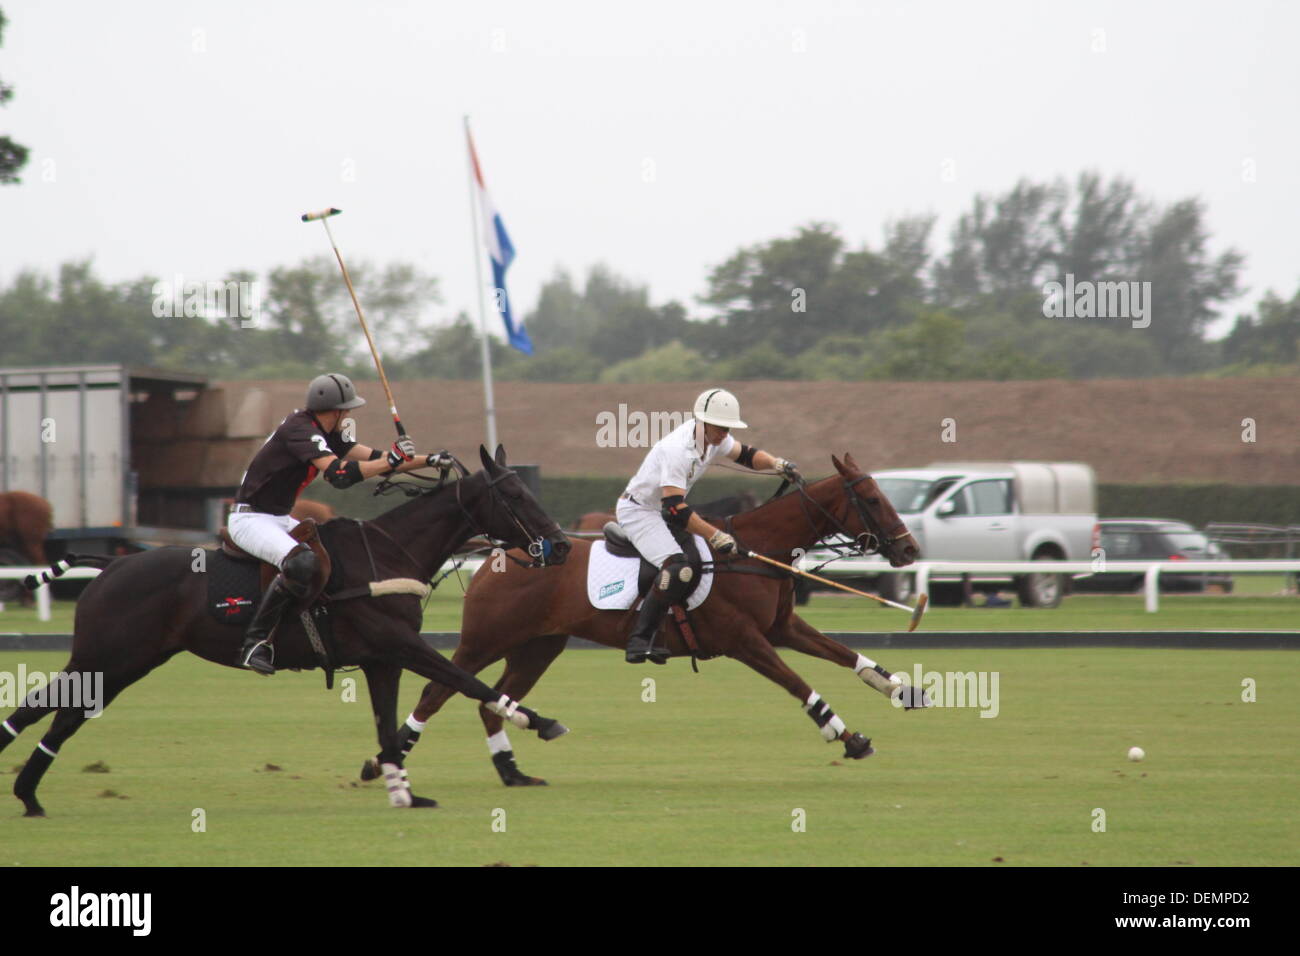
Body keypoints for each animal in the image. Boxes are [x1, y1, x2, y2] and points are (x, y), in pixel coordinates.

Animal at [0, 447, 569, 816]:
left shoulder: (382, 660)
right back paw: (24, 787)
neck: (389, 553)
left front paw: (403, 792)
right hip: (107, 656)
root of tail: (112, 565)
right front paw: (540, 721)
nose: (561, 545)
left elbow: (389, 727)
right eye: (514, 494)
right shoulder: (398, 643)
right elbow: (466, 680)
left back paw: (29, 795)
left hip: (127, 663)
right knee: (48, 709)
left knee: (60, 715)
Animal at [366, 452, 925, 790]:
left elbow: (846, 655)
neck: (753, 552)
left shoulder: (781, 628)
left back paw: (513, 773)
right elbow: (799, 684)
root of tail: (501, 553)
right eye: (871, 499)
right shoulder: (746, 641)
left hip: (539, 647)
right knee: (438, 691)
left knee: (492, 701)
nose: (909, 550)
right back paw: (384, 760)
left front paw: (901, 689)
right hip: (485, 640)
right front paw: (848, 738)